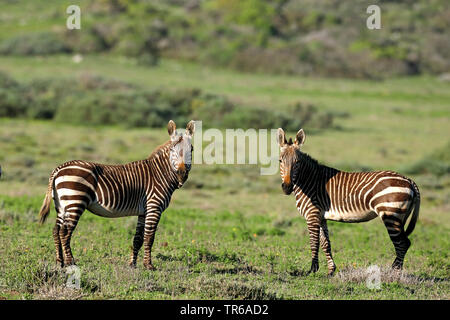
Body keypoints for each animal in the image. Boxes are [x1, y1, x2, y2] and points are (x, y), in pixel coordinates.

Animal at [37, 120, 195, 270]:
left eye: (191, 149)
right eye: (172, 149)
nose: (182, 175)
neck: (160, 173)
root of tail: (59, 169)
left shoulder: (143, 211)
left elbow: (138, 239)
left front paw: (133, 264)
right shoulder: (154, 207)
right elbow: (149, 237)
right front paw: (148, 266)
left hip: (62, 205)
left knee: (56, 231)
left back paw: (60, 262)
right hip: (75, 202)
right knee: (65, 232)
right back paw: (70, 262)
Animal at [276, 127, 420, 276]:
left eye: (297, 162)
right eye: (280, 161)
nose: (287, 188)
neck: (309, 181)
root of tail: (409, 180)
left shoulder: (312, 215)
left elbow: (314, 242)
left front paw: (312, 270)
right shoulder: (321, 217)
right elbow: (325, 243)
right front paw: (331, 271)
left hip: (390, 215)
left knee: (402, 244)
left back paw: (394, 273)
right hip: (399, 217)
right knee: (404, 242)